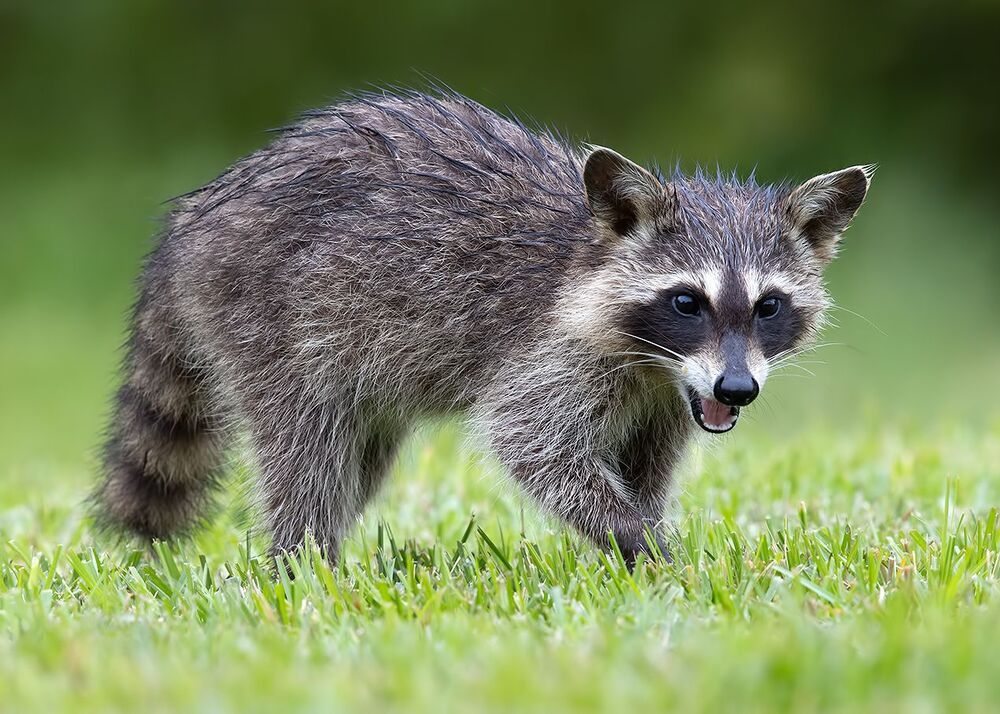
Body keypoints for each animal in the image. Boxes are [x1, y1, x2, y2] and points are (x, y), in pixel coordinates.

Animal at [95, 89, 871, 566]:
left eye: (768, 306)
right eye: (688, 302)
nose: (738, 390)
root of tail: (196, 215)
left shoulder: (665, 398)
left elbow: (645, 468)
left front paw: (639, 545)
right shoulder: (553, 352)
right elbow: (532, 444)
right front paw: (641, 545)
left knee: (355, 461)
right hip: (267, 316)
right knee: (305, 450)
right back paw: (304, 563)